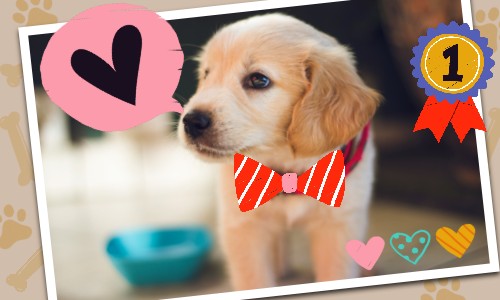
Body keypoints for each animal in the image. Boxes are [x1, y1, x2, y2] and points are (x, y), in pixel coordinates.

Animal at [178, 14, 380, 290]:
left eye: (258, 80)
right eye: (207, 74)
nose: (191, 122)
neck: (285, 166)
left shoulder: (339, 225)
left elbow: (335, 273)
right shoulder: (243, 227)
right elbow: (253, 279)